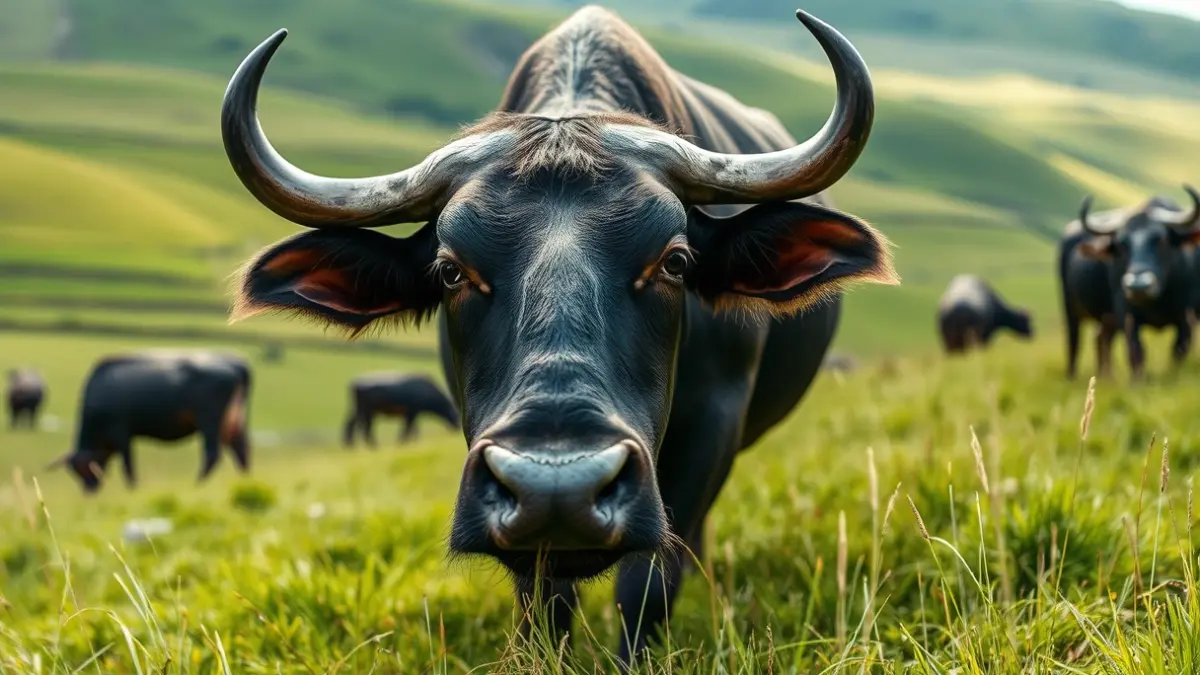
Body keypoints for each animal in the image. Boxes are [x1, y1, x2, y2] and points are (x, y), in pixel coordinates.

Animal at [47, 350, 252, 492]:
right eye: (75, 472)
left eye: (85, 468)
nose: (89, 490)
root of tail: (235, 366)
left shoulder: (121, 431)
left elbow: (127, 466)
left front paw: (133, 489)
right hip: (234, 421)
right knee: (241, 451)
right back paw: (244, 480)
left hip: (210, 420)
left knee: (212, 454)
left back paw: (197, 484)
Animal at [221, 6, 895, 661]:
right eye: (450, 270)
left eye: (674, 262)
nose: (558, 488)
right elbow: (543, 598)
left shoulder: (712, 426)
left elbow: (647, 582)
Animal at [1060, 187, 1200, 379]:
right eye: (1121, 245)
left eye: (1161, 240)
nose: (1138, 286)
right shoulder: (1126, 314)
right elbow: (1136, 352)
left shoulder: (1186, 316)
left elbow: (1178, 350)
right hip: (1070, 308)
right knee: (1074, 342)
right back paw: (1073, 376)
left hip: (1107, 319)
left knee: (1101, 337)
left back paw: (1106, 377)